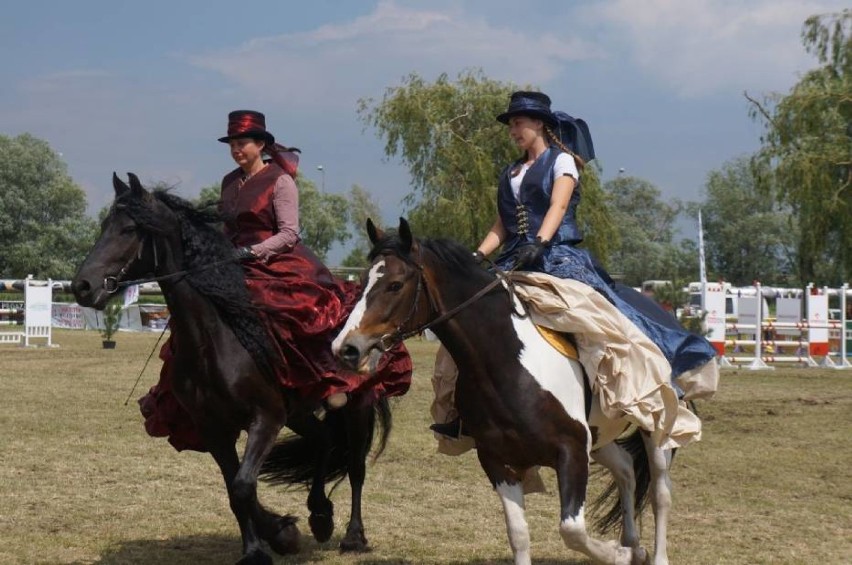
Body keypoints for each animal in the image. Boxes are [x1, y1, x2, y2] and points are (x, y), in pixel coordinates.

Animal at [74, 173, 392, 564]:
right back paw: (319, 515)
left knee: (356, 466)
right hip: (296, 412)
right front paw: (270, 537)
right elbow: (235, 488)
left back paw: (352, 536)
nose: (81, 286)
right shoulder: (214, 427)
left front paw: (274, 538)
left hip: (356, 405)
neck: (217, 339)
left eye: (130, 229)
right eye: (105, 224)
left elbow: (242, 486)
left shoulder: (265, 419)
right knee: (323, 440)